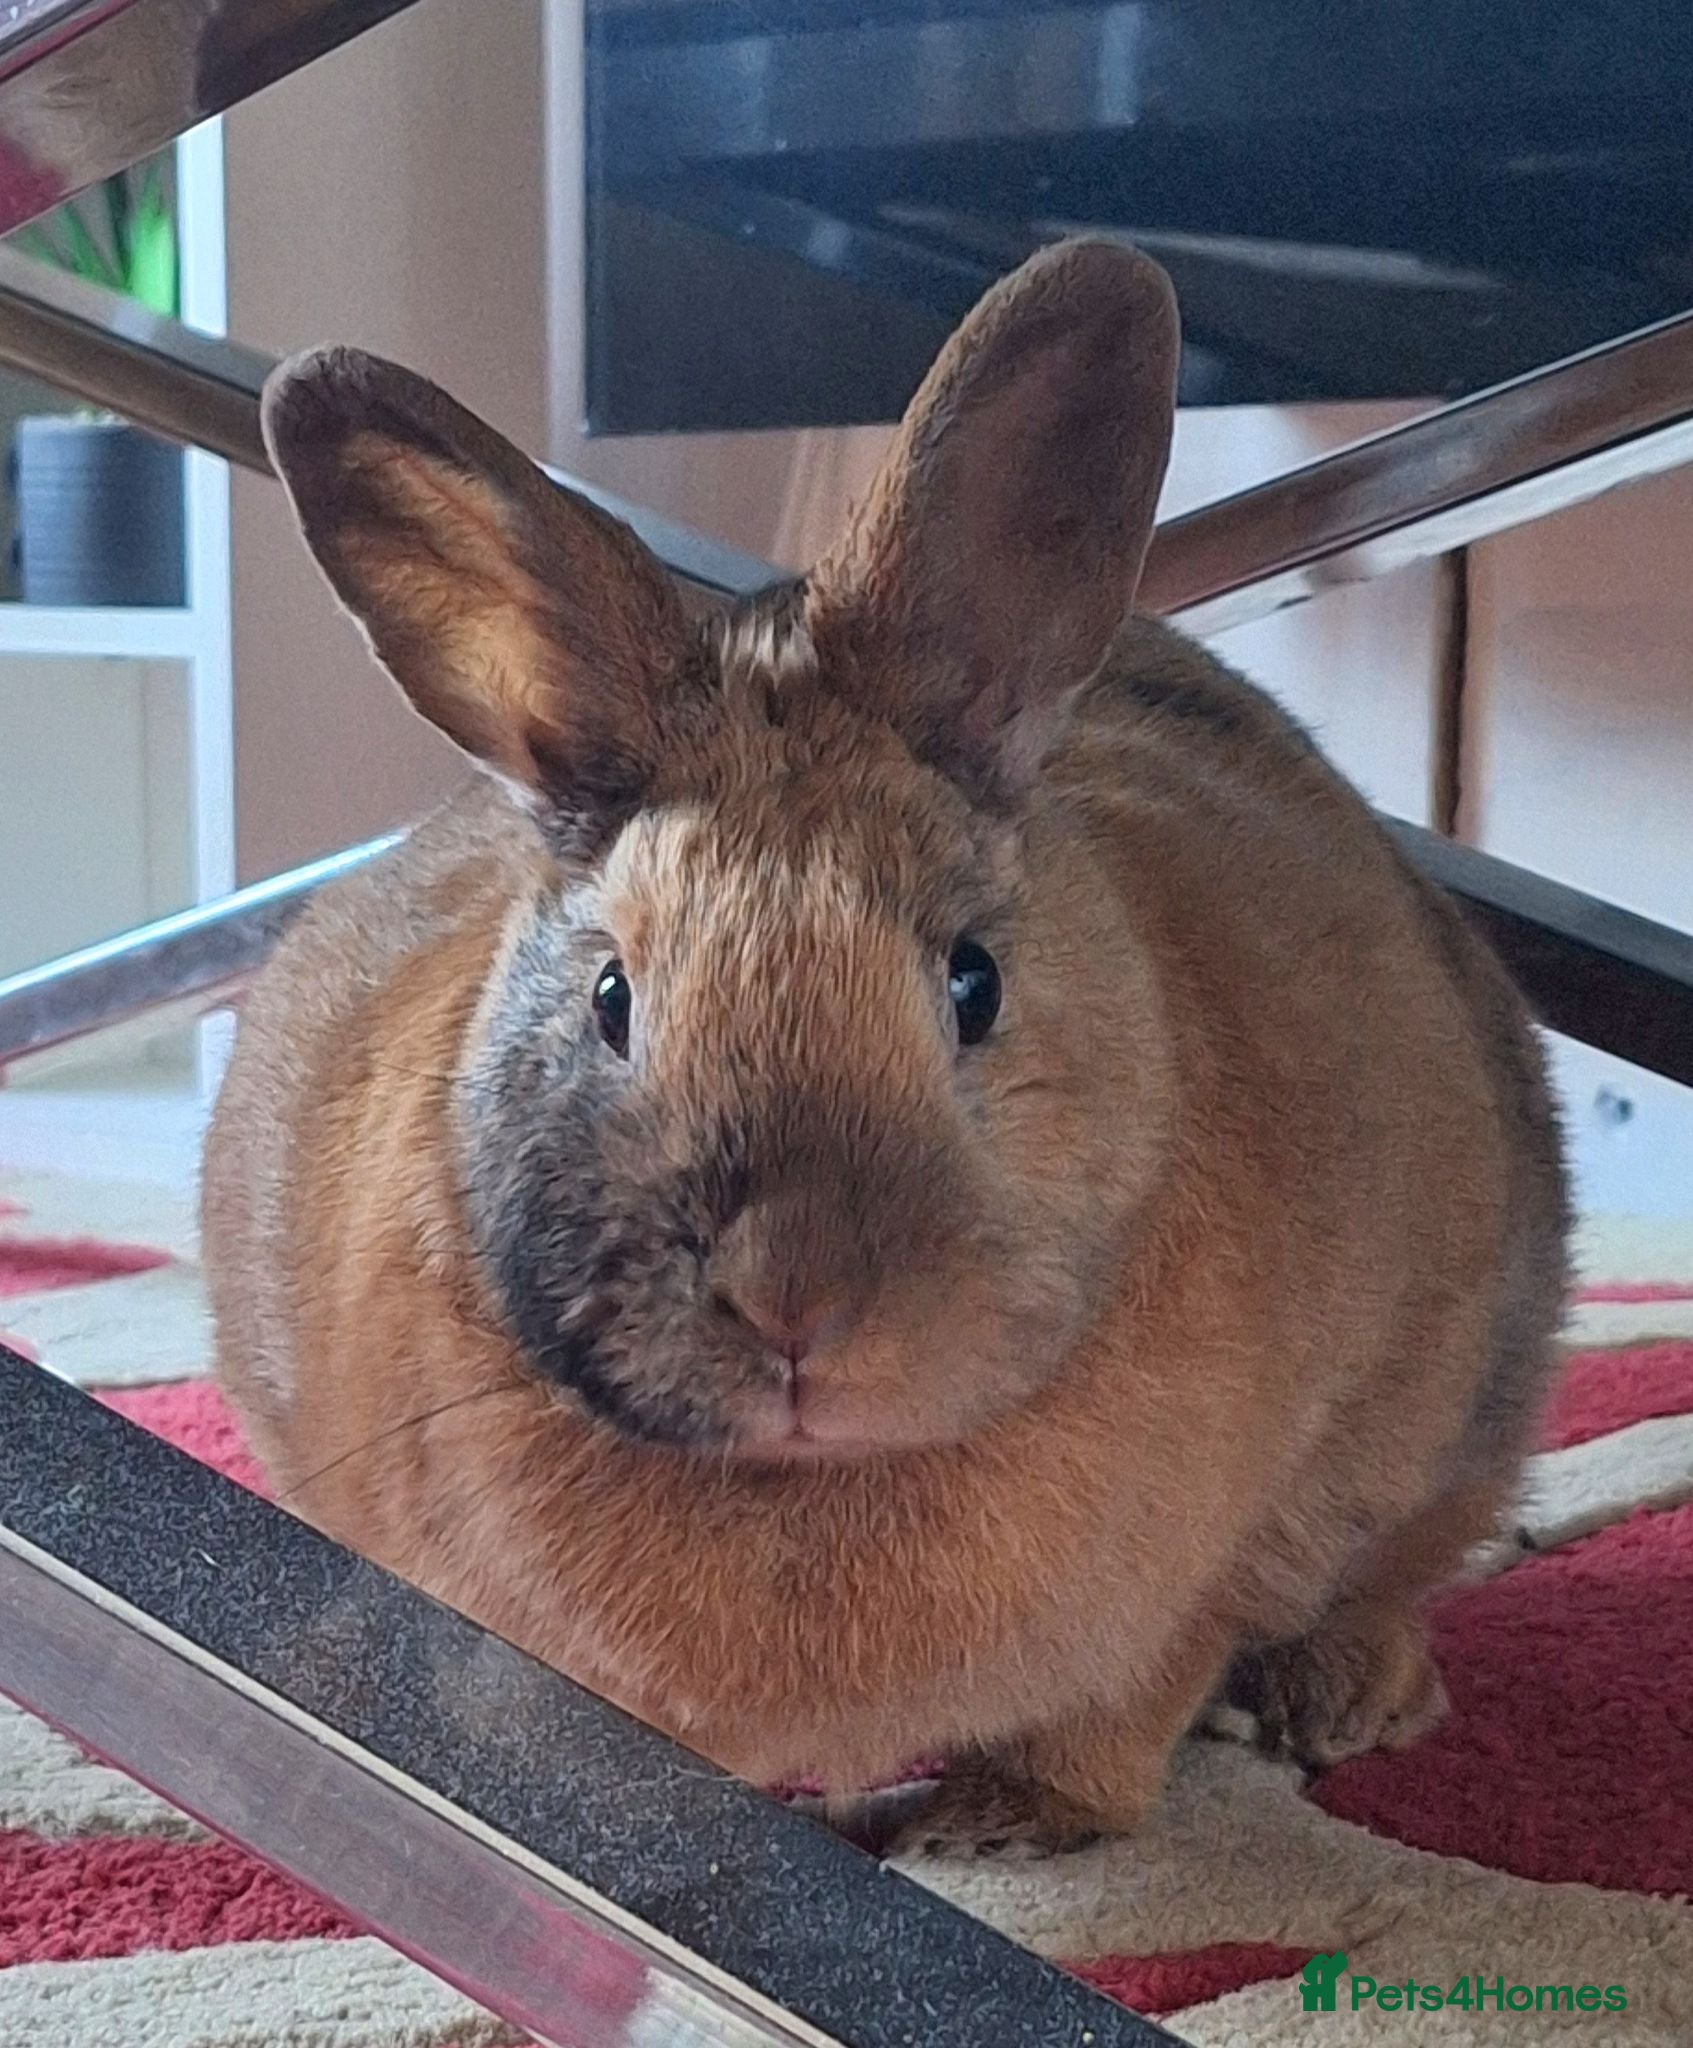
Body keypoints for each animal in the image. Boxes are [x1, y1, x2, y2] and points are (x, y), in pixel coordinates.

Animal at [202, 239, 1568, 1860]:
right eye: (611, 999)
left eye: (973, 982)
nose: (794, 1298)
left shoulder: (1192, 1589)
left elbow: (1118, 1717)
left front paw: (984, 1825)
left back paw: (1342, 1701)